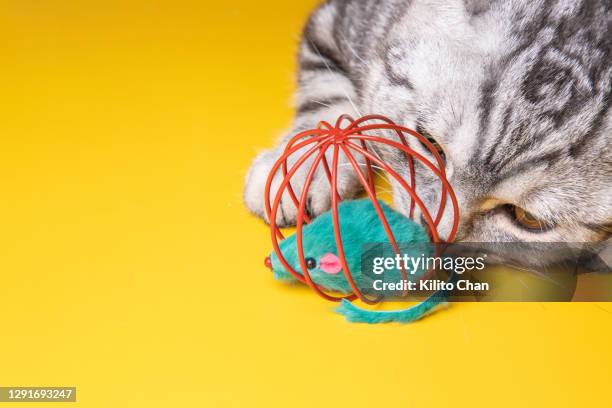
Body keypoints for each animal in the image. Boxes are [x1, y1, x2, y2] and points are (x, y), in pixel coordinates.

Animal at [241, 0, 608, 270]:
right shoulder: (335, 22)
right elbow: (327, 98)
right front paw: (307, 169)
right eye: (430, 144)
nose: (433, 233)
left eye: (527, 219)